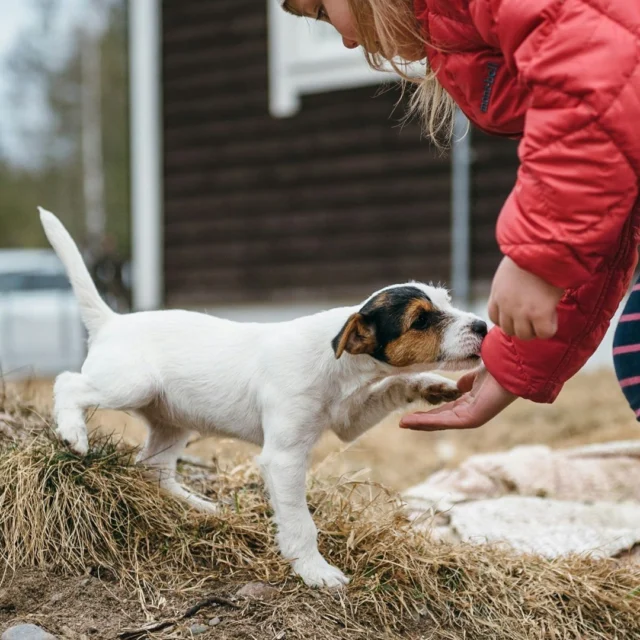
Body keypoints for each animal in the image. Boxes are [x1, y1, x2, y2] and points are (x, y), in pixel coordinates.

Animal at [40, 208, 488, 588]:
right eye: (421, 320)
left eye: (447, 302)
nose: (483, 326)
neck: (336, 363)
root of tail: (111, 322)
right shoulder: (284, 457)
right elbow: (300, 521)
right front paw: (314, 571)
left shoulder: (348, 420)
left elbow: (394, 385)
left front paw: (430, 385)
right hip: (131, 383)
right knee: (68, 382)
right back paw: (73, 433)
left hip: (172, 420)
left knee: (153, 468)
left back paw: (199, 507)